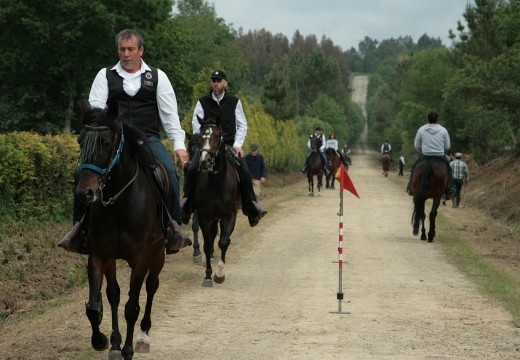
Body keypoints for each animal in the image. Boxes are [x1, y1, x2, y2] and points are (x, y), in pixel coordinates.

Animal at [74, 99, 165, 360]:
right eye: (80, 141)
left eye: (105, 142)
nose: (85, 193)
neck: (119, 203)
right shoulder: (100, 255)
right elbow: (97, 305)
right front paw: (104, 341)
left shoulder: (141, 257)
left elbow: (132, 306)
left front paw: (128, 349)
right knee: (114, 294)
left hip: (159, 252)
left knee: (151, 286)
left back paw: (143, 337)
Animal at [192, 115, 241, 286]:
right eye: (201, 137)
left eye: (217, 136)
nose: (205, 162)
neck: (216, 183)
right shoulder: (204, 216)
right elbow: (207, 244)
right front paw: (208, 275)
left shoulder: (230, 215)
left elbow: (224, 241)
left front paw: (219, 274)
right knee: (211, 237)